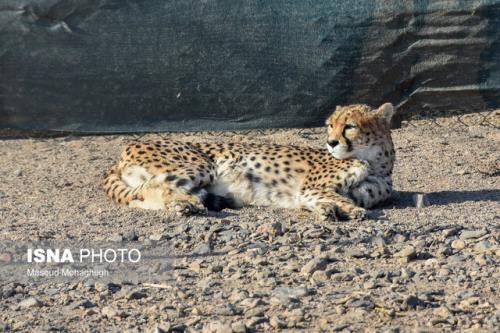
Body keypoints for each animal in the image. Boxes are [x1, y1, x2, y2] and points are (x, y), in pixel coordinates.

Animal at [103, 102, 396, 219]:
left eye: (350, 127)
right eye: (329, 126)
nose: (331, 142)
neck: (375, 163)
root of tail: (126, 148)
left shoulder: (309, 194)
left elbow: (330, 200)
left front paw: (329, 211)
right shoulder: (310, 188)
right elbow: (339, 198)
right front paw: (348, 210)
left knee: (141, 197)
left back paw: (184, 204)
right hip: (201, 164)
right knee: (150, 188)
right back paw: (185, 204)